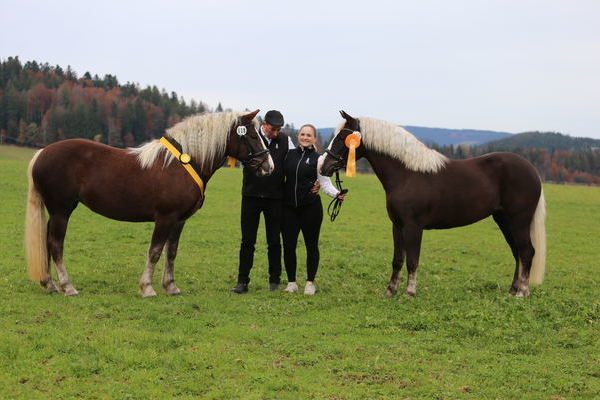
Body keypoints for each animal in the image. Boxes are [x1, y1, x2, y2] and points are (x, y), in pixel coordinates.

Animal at [25, 109, 274, 296]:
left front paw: (171, 286)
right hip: (61, 210)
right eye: (253, 136)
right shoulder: (165, 217)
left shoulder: (179, 220)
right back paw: (68, 287)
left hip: (56, 212)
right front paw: (147, 288)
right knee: (56, 244)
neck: (181, 164)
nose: (269, 166)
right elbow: (155, 251)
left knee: (47, 242)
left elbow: (171, 251)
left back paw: (50, 284)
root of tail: (42, 152)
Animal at [322, 111, 548, 298]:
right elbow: (398, 260)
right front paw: (390, 291)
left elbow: (413, 260)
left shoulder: (413, 227)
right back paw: (512, 290)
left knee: (527, 252)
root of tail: (532, 171)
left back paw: (522, 293)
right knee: (518, 253)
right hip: (504, 221)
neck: (407, 174)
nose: (324, 166)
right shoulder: (397, 226)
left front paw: (410, 292)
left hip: (518, 221)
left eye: (342, 137)